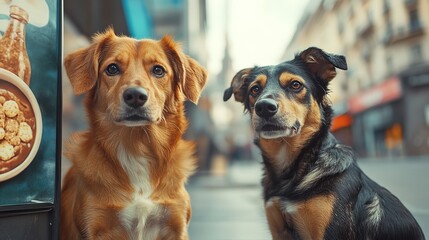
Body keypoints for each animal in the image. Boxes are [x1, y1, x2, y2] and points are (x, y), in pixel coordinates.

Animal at [61, 28, 206, 240]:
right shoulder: (96, 224)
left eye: (158, 70)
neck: (137, 146)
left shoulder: (176, 225)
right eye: (112, 68)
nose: (135, 96)